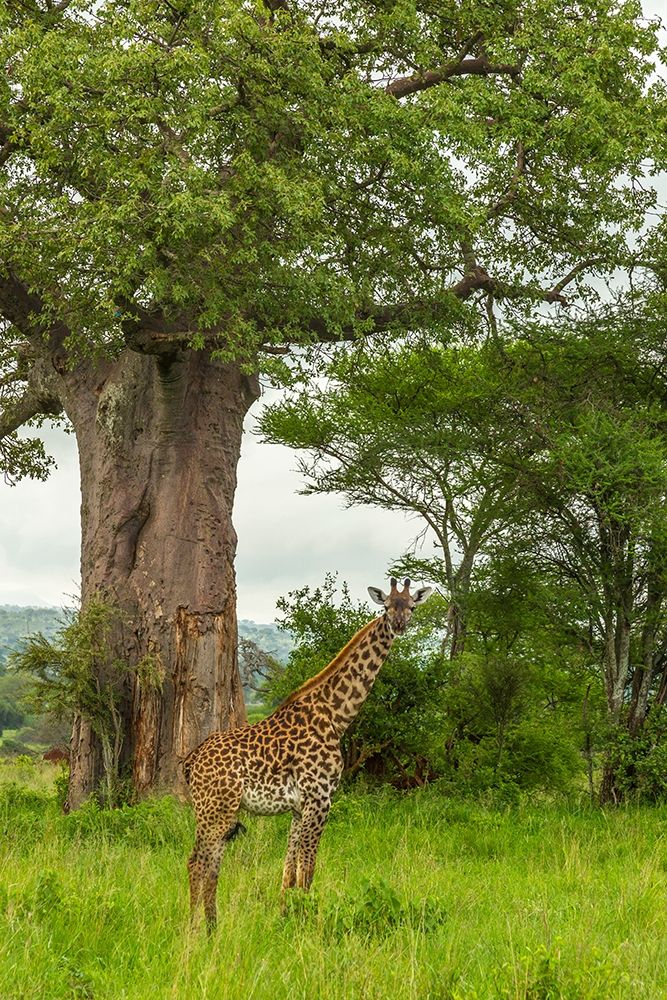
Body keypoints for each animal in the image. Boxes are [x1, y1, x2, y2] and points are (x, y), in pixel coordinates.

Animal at [184, 577, 432, 931]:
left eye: (411, 606)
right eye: (386, 606)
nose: (398, 625)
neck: (336, 716)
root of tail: (192, 760)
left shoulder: (299, 807)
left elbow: (289, 870)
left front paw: (285, 917)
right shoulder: (320, 798)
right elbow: (308, 869)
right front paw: (308, 924)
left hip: (218, 812)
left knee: (211, 864)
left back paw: (212, 927)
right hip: (215, 810)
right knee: (197, 863)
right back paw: (193, 930)